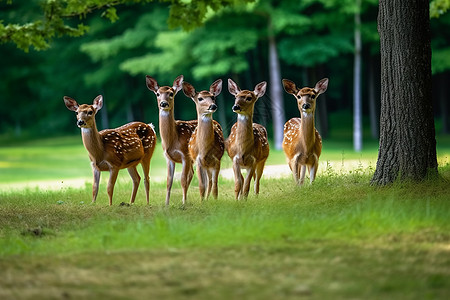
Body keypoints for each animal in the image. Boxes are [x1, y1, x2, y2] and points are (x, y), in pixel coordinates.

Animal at [146, 75, 197, 206]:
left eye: (171, 93)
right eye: (158, 93)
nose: (163, 103)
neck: (172, 140)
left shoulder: (185, 155)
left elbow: (183, 179)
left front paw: (183, 203)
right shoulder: (168, 158)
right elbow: (169, 181)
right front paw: (166, 204)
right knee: (192, 173)